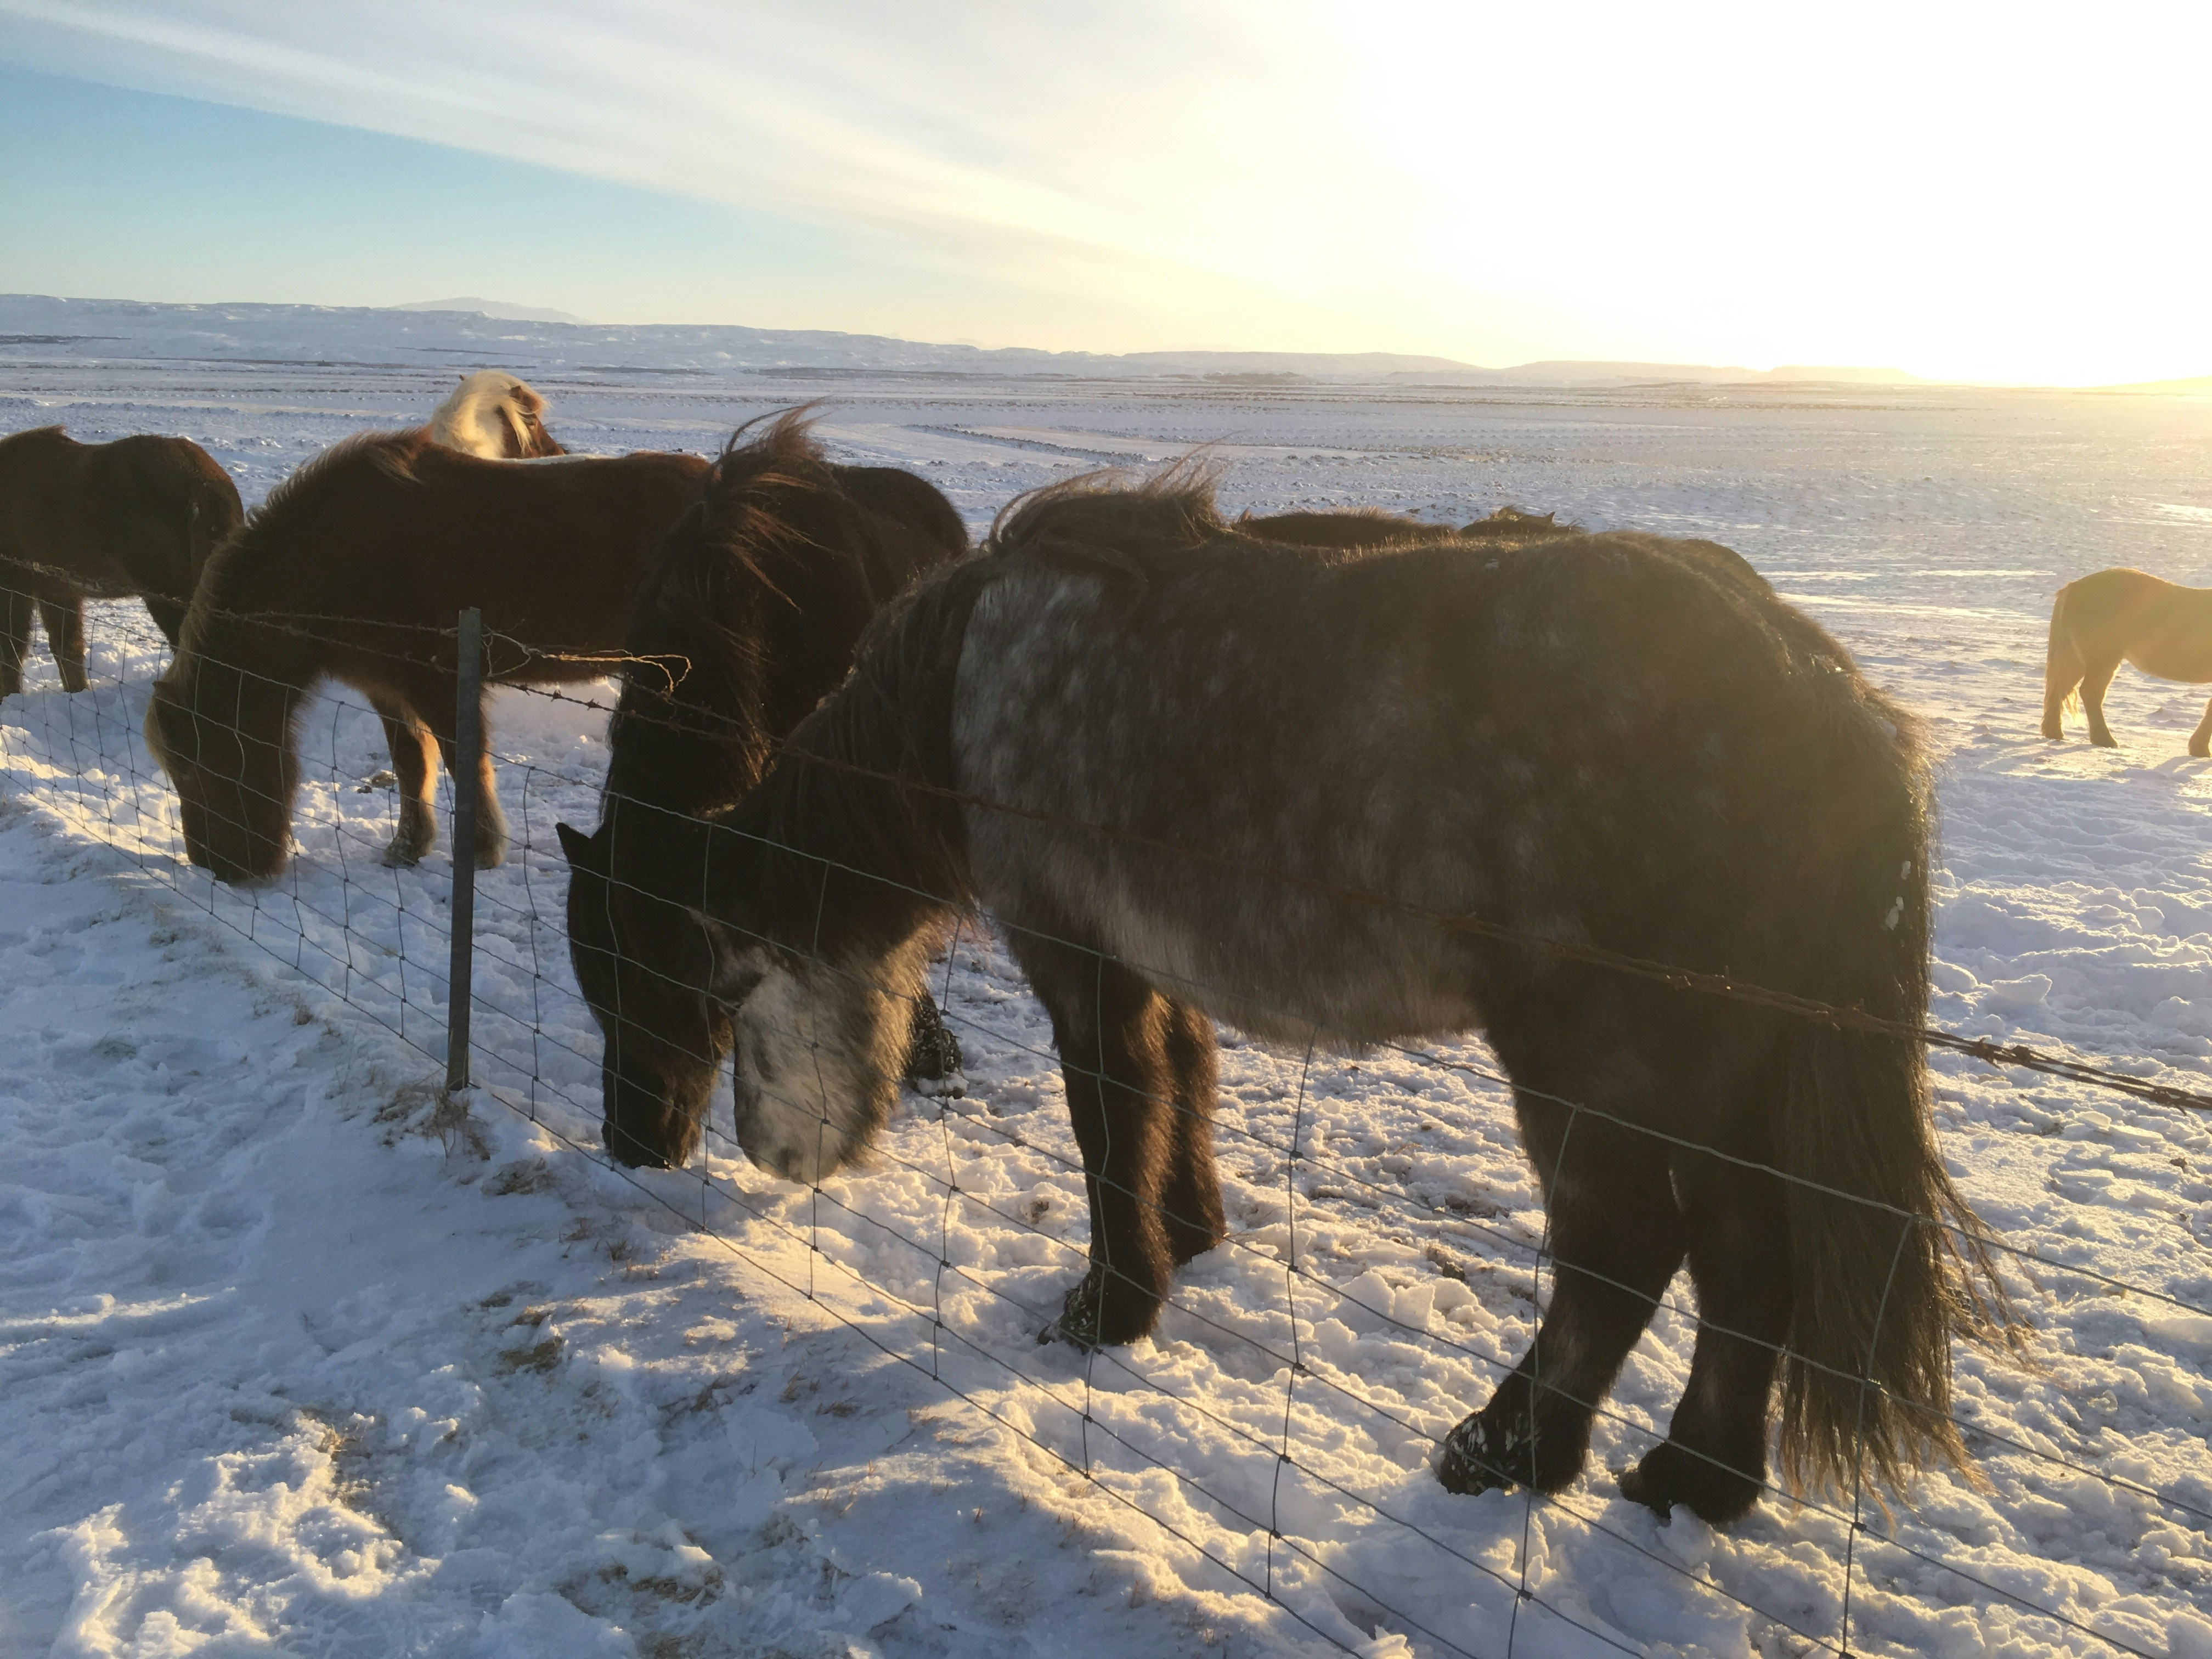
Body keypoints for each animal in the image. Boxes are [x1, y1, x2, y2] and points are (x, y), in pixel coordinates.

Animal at [144, 430, 707, 883]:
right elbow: (412, 762)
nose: (219, 868)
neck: (341, 557)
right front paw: (407, 847)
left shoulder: (442, 683)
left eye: (196, 769)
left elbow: (463, 761)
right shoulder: (386, 687)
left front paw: (480, 852)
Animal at [680, 468, 2005, 1526]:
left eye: (736, 982)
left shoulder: (1075, 954)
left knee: (1622, 1252)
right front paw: (1190, 1237)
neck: (974, 675)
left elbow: (1108, 1118)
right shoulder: (1155, 956)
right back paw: (1694, 1477)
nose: (766, 1161)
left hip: (1590, 1055)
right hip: (1721, 1075)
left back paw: (1505, 1450)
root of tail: (1818, 687)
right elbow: (1182, 1085)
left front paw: (1108, 1305)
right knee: (1745, 1256)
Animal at [2041, 568, 2212, 754]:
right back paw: (2104, 739)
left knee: (2059, 689)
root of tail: (2072, 588)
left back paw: (2055, 733)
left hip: (2077, 659)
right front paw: (2200, 749)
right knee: (2090, 693)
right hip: (2102, 659)